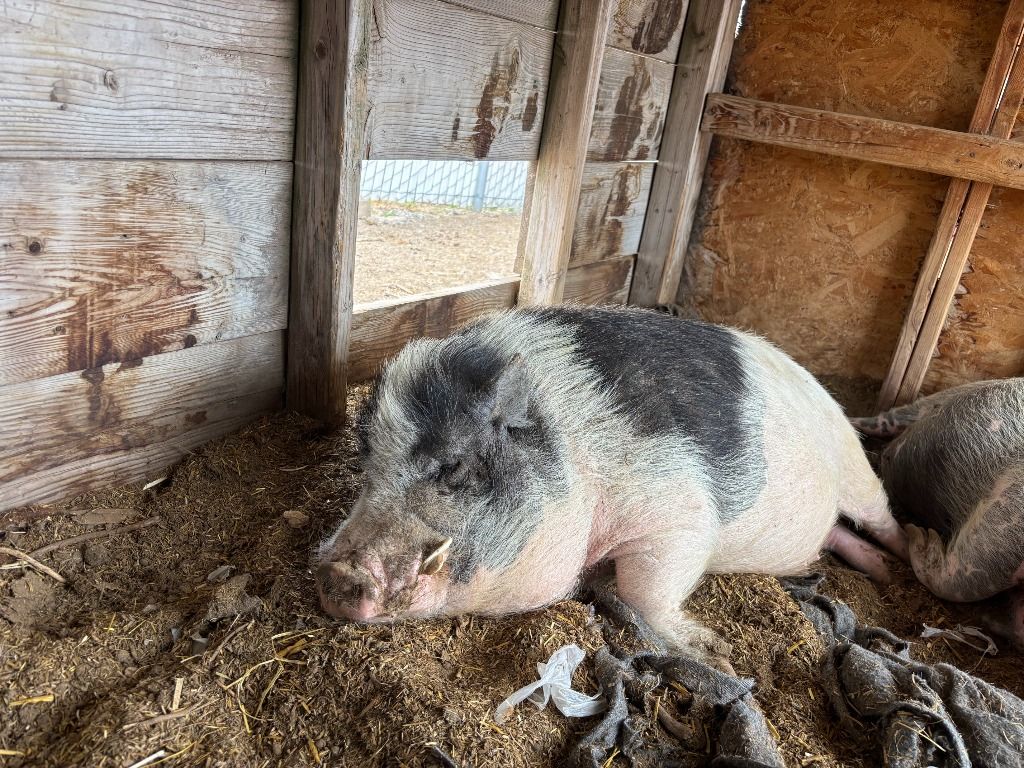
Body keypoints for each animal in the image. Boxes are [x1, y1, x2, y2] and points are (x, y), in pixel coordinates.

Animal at [316, 306, 908, 667]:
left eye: (454, 466)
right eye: (367, 467)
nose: (337, 573)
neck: (575, 458)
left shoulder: (678, 509)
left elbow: (643, 589)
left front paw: (719, 655)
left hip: (858, 471)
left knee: (882, 517)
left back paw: (900, 569)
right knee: (835, 535)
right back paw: (875, 570)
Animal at [851, 379, 1024, 648]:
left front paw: (987, 617)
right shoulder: (1009, 512)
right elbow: (968, 573)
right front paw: (922, 535)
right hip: (942, 397)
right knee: (893, 416)